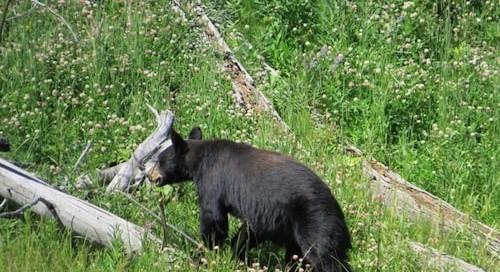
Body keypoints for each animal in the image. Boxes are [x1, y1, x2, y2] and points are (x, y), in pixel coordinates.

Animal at [147, 127, 352, 272]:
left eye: (159, 159)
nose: (149, 174)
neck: (200, 160)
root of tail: (339, 211)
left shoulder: (213, 180)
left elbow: (214, 219)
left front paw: (200, 256)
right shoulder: (263, 217)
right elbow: (247, 232)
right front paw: (235, 255)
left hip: (315, 221)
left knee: (323, 256)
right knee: (296, 254)